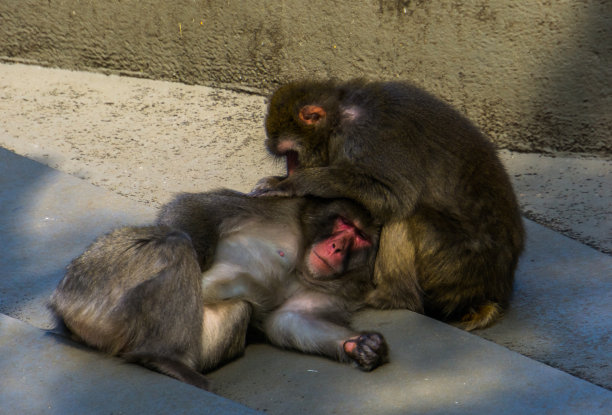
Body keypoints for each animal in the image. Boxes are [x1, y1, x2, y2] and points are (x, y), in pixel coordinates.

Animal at [51, 190, 388, 392]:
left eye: (359, 236)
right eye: (343, 223)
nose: (337, 246)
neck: (302, 258)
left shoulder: (327, 290)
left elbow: (290, 321)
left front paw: (362, 345)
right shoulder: (279, 211)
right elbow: (196, 209)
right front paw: (200, 252)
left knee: (241, 307)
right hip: (97, 283)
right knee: (173, 241)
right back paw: (162, 358)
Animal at [253, 79, 524, 332]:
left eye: (290, 153)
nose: (291, 171)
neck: (340, 115)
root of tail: (493, 289)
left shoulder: (364, 138)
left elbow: (394, 196)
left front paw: (296, 183)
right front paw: (279, 180)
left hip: (452, 267)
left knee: (404, 217)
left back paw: (391, 296)